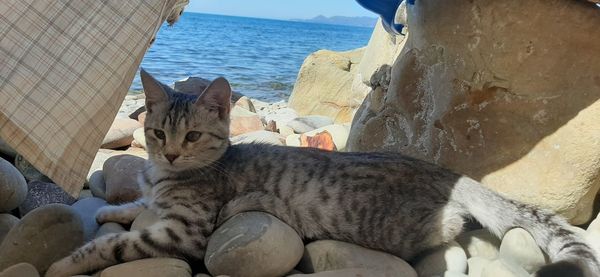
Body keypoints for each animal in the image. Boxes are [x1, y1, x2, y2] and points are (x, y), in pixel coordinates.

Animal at [45, 69, 600, 276]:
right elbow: (138, 206)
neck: (166, 178)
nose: (173, 156)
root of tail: (445, 173)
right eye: (159, 133)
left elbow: (119, 246)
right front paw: (113, 210)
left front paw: (67, 262)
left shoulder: (185, 232)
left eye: (194, 136)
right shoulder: (157, 196)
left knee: (453, 227)